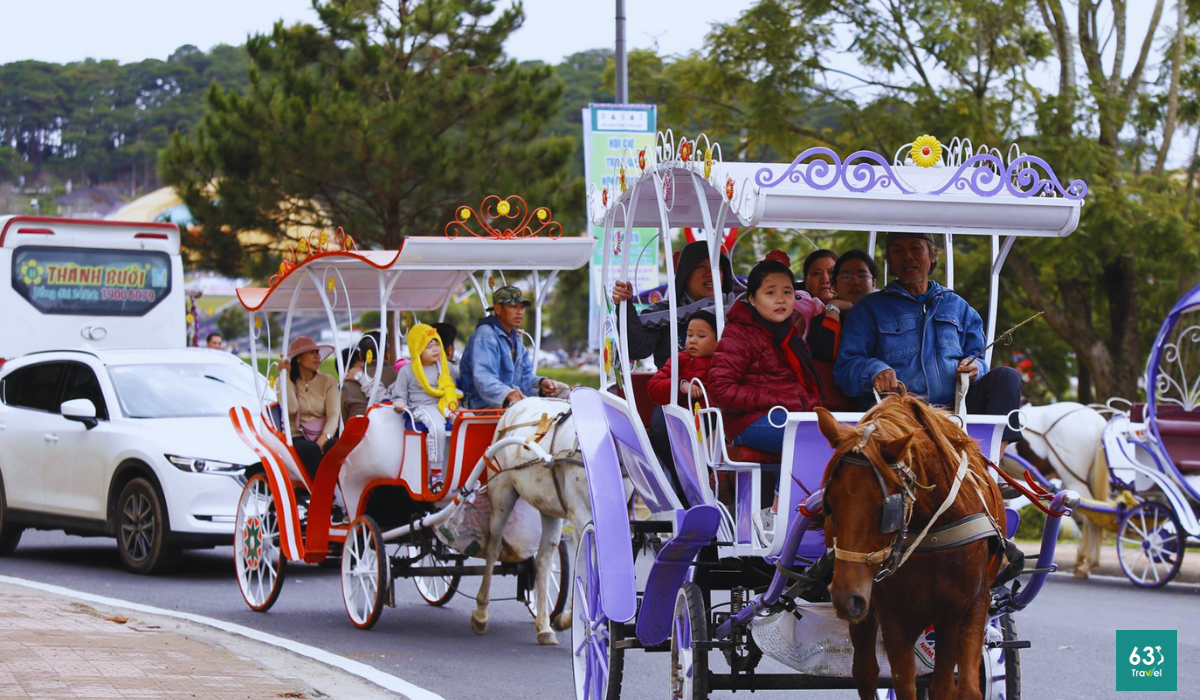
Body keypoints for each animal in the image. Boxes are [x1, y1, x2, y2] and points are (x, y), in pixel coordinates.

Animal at [472, 401, 595, 648]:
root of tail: (514, 405)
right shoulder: (581, 515)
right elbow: (585, 566)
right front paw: (572, 617)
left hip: (549, 508)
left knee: (543, 561)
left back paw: (544, 626)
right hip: (502, 495)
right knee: (493, 548)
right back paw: (481, 613)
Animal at [820, 393, 1008, 700]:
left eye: (883, 509)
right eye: (830, 505)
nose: (846, 598)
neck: (933, 530)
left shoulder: (962, 609)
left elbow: (954, 687)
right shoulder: (894, 615)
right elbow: (904, 684)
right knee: (865, 671)